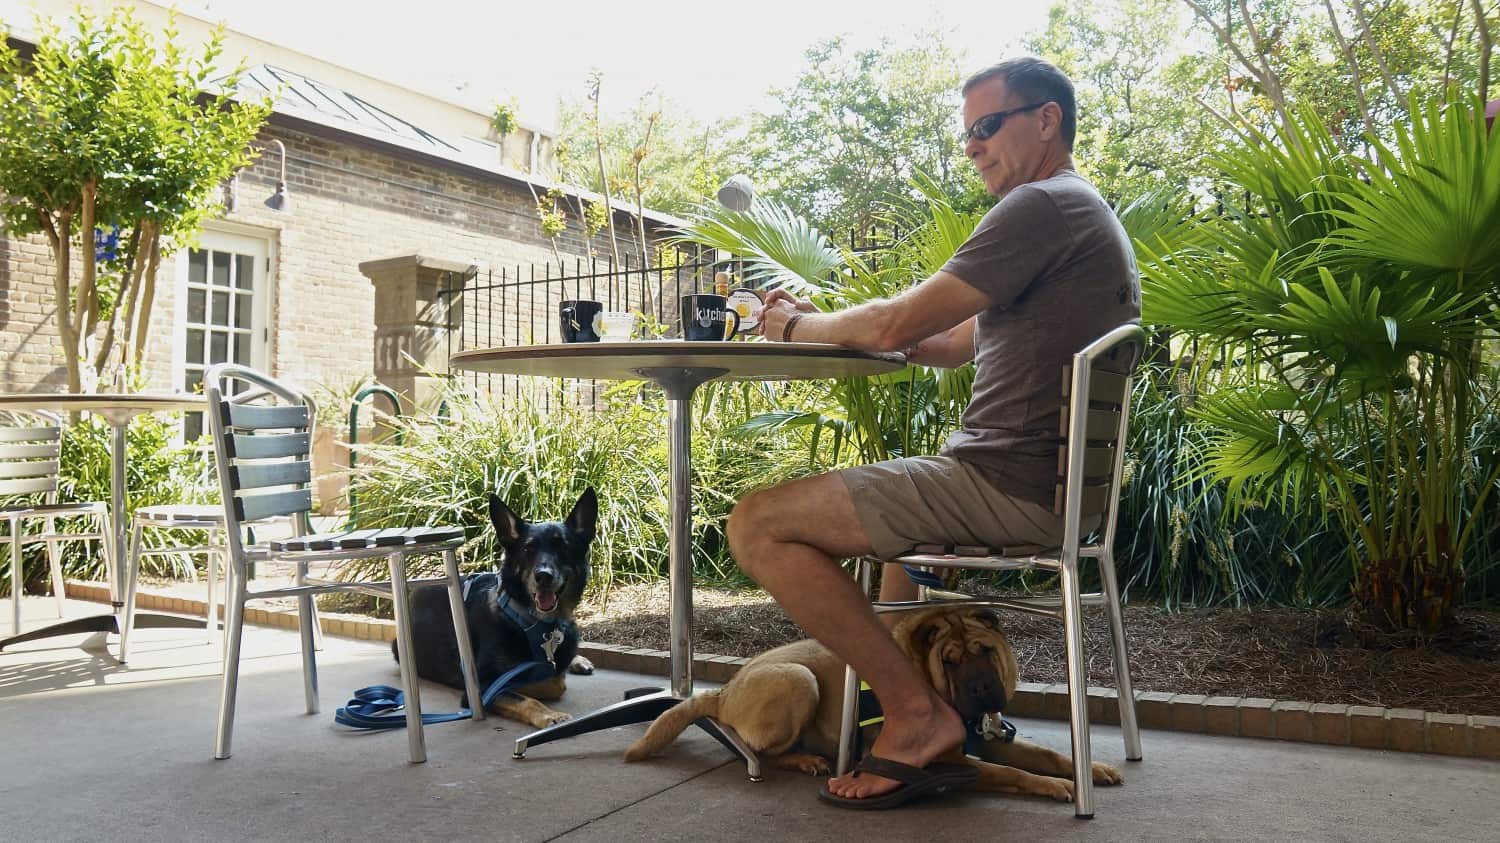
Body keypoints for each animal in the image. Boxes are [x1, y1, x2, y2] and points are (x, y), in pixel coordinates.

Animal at [399, 489, 597, 726]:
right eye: (528, 548)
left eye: (563, 547)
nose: (543, 576)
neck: (528, 621)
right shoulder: (482, 688)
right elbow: (538, 690)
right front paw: (550, 714)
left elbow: (553, 680)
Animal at [624, 603, 1128, 798]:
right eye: (950, 662)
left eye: (986, 651)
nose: (981, 689)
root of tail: (723, 690)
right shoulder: (950, 760)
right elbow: (1012, 772)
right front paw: (1054, 786)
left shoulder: (991, 739)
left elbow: (1047, 754)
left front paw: (1091, 769)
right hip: (800, 679)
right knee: (758, 753)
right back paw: (805, 760)